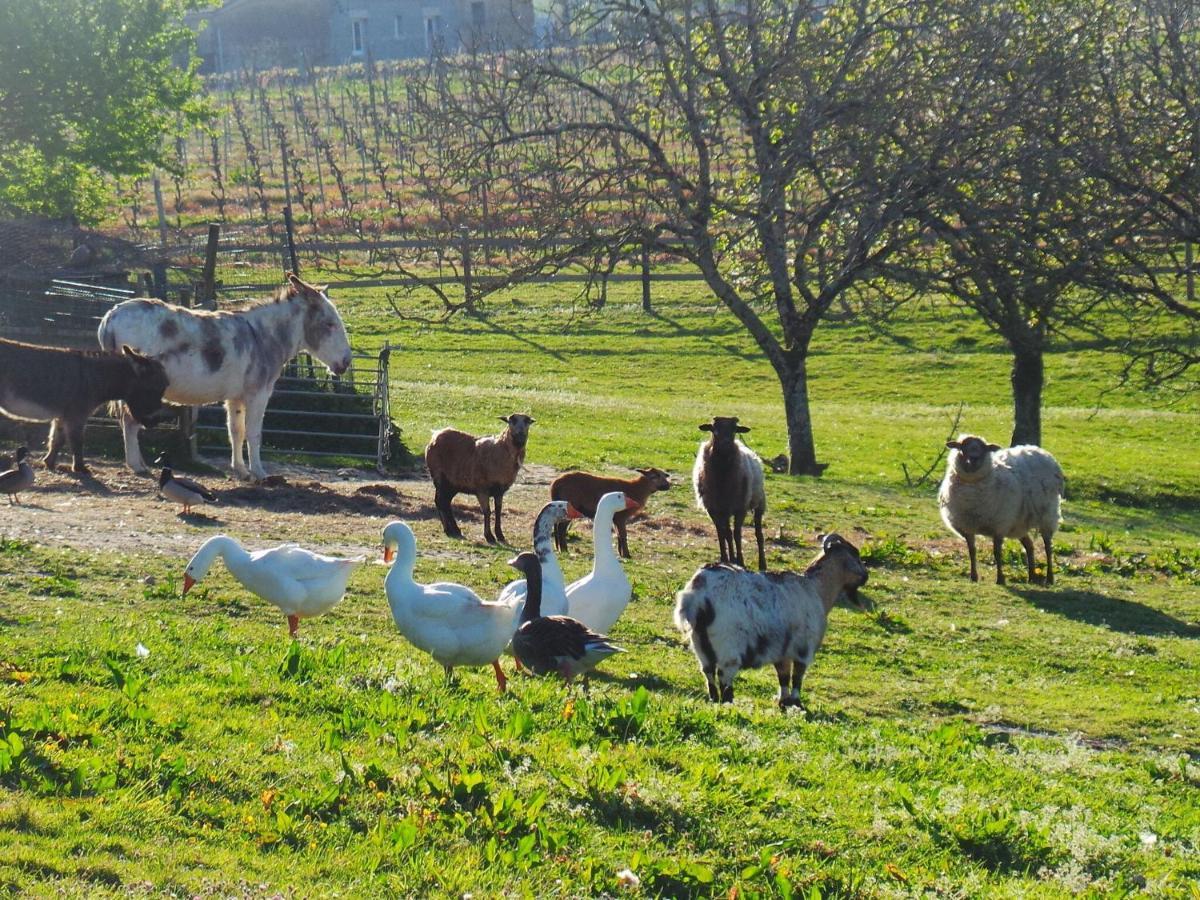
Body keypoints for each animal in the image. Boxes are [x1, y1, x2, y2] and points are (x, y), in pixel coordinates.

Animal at [696, 417, 768, 571]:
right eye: (714, 429)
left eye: (734, 430)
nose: (725, 444)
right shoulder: (714, 508)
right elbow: (722, 533)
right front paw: (725, 558)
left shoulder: (740, 507)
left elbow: (737, 534)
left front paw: (740, 561)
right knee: (727, 532)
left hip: (759, 502)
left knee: (758, 534)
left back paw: (762, 564)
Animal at [940, 434, 1065, 588]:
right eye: (963, 447)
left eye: (983, 448)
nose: (974, 459)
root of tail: (1040, 451)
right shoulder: (967, 527)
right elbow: (972, 551)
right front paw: (973, 576)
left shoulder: (999, 526)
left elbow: (997, 552)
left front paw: (1000, 579)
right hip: (1018, 524)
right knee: (1029, 546)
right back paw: (1031, 576)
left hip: (1047, 516)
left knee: (1048, 547)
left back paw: (1049, 578)